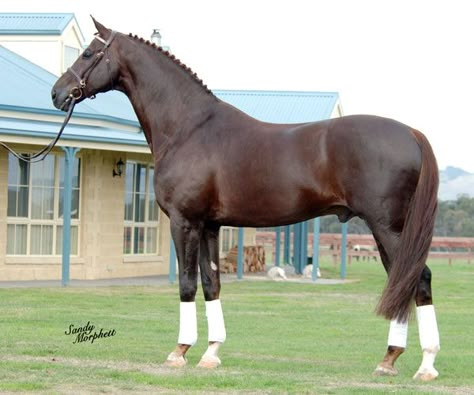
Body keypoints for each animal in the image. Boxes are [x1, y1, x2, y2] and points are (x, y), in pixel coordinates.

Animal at [51, 18, 440, 380]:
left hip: (388, 228)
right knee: (404, 281)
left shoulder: (184, 222)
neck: (188, 128)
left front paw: (179, 351)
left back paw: (422, 364)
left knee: (417, 279)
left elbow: (187, 283)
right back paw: (392, 360)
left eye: (88, 53)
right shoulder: (210, 226)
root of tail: (412, 133)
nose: (58, 94)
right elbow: (211, 283)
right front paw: (211, 353)